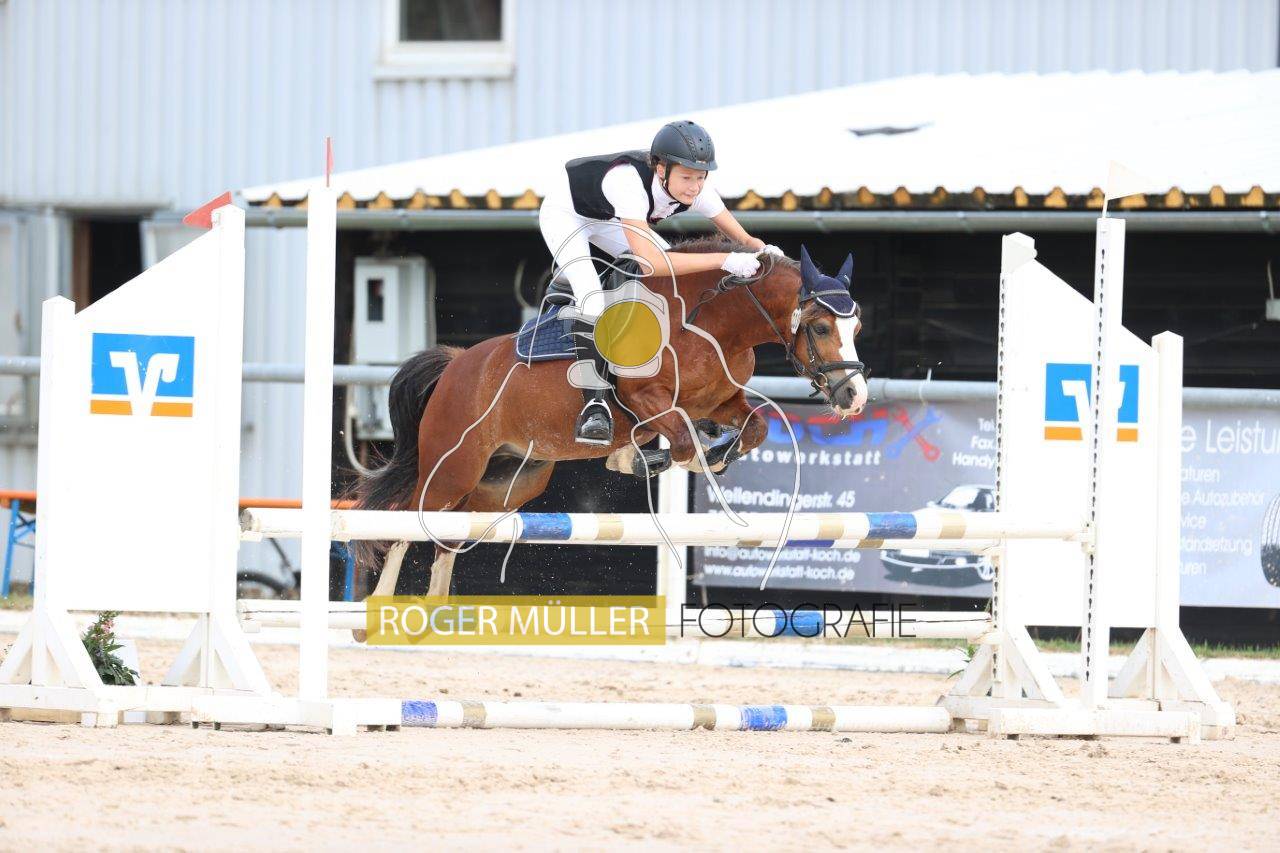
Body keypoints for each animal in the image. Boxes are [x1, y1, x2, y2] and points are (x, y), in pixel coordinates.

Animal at [350, 237, 869, 598]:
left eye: (857, 326)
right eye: (820, 327)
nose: (854, 397)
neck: (709, 323)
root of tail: (457, 363)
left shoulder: (721, 402)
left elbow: (754, 426)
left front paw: (713, 454)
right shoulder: (648, 400)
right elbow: (682, 441)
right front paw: (647, 459)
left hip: (509, 480)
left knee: (450, 534)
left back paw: (434, 612)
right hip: (454, 466)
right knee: (408, 519)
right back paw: (378, 613)